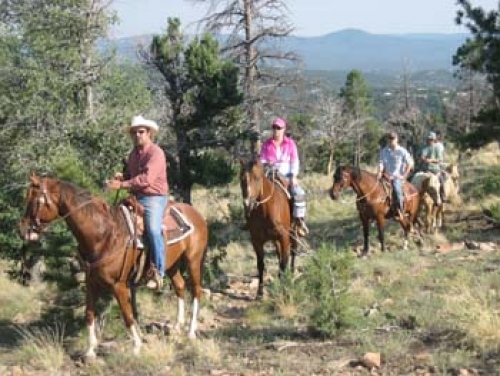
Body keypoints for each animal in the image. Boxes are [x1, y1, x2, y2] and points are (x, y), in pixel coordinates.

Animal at [19, 173, 207, 356]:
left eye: (35, 200)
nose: (22, 231)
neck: (104, 235)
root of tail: (195, 212)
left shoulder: (119, 285)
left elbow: (127, 315)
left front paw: (136, 346)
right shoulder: (91, 282)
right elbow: (89, 314)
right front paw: (90, 350)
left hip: (193, 260)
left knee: (196, 291)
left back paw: (191, 331)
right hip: (172, 265)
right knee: (180, 286)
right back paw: (177, 326)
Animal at [239, 156, 296, 296]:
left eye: (257, 178)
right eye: (241, 179)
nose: (247, 203)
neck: (265, 211)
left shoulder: (284, 237)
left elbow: (284, 262)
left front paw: (284, 288)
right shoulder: (256, 240)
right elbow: (261, 264)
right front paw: (259, 292)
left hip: (293, 232)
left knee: (293, 251)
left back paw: (291, 274)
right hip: (275, 240)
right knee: (279, 254)